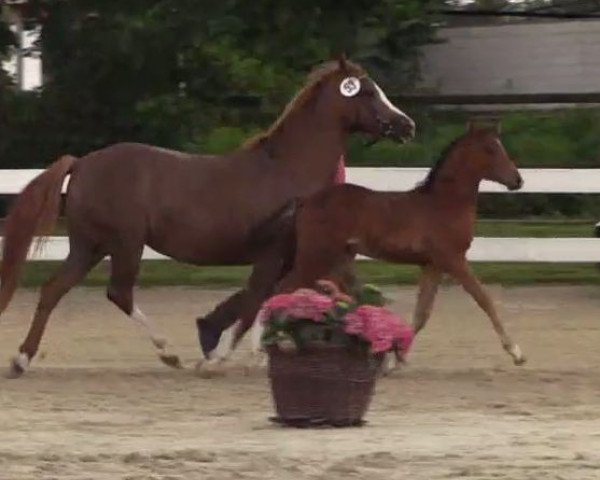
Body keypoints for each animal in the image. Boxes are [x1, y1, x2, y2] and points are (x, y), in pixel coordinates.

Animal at [0, 56, 414, 376]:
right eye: (366, 91)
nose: (407, 125)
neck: (288, 170)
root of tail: (82, 163)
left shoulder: (304, 255)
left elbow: (286, 296)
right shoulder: (274, 253)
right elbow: (257, 299)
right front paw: (223, 358)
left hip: (89, 245)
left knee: (54, 289)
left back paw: (22, 359)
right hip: (124, 243)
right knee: (118, 292)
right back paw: (169, 352)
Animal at [248, 122, 524, 366]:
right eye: (490, 149)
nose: (517, 181)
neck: (444, 205)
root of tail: (305, 201)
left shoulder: (432, 265)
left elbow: (422, 313)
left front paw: (395, 357)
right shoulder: (453, 260)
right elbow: (484, 299)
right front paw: (516, 353)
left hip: (336, 257)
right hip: (314, 256)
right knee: (278, 291)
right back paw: (260, 351)